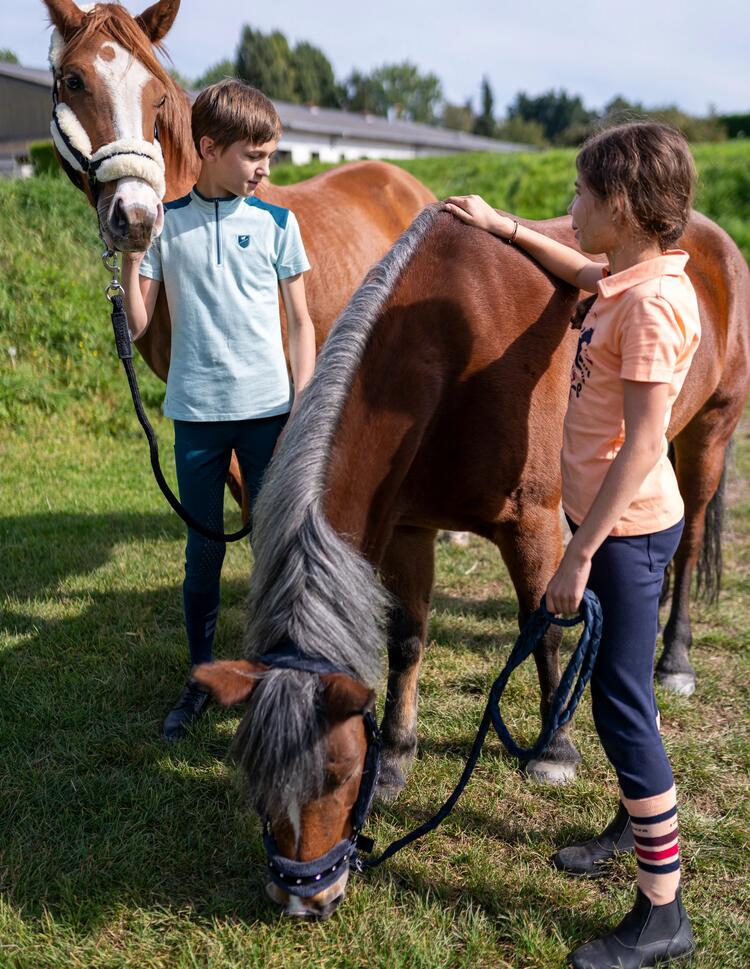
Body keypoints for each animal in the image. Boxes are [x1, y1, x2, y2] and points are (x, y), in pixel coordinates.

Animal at [197, 204, 748, 916]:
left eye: (339, 770)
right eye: (255, 774)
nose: (303, 900)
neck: (449, 350)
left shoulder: (534, 523)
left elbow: (544, 633)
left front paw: (554, 750)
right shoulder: (409, 528)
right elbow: (407, 638)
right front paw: (399, 753)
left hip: (706, 436)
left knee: (686, 545)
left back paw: (673, 658)